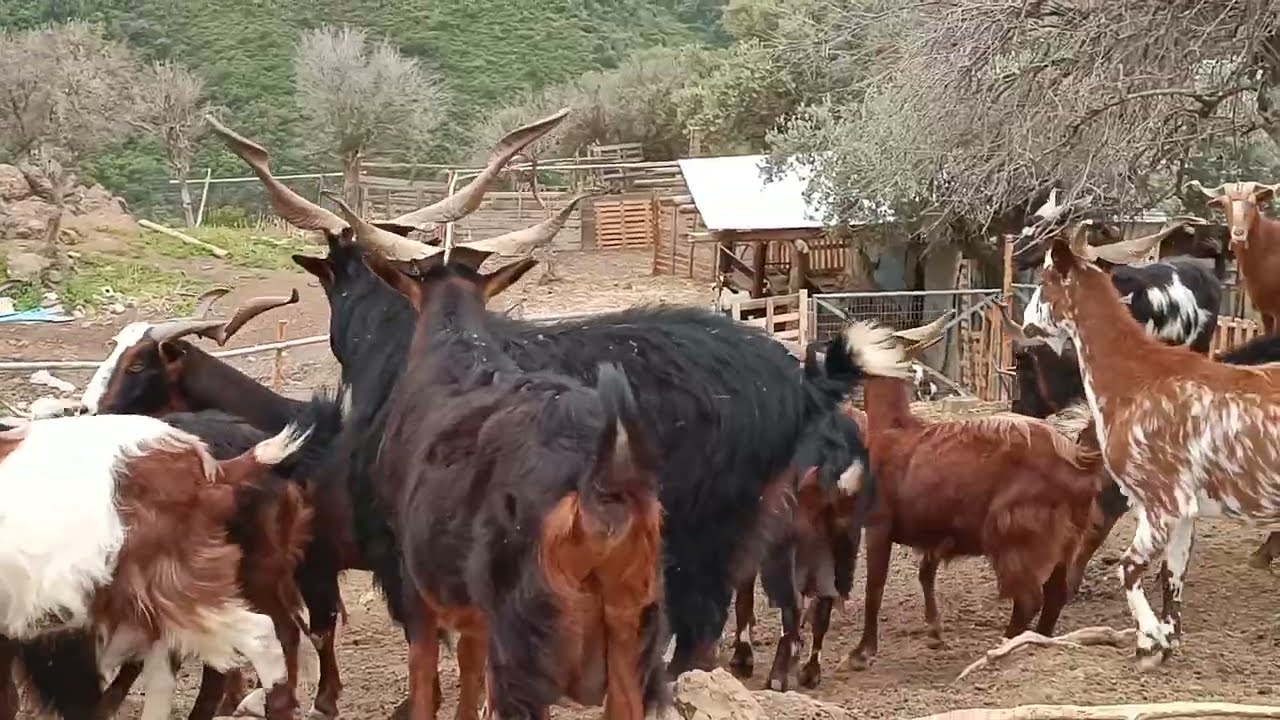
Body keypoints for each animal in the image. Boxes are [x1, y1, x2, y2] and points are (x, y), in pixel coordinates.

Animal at [367, 257, 666, 720]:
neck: (454, 347)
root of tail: (603, 482)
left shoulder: (415, 583)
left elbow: (423, 678)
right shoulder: (477, 612)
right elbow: (469, 661)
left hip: (523, 649)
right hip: (633, 633)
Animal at [728, 402, 873, 691]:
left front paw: (742, 657)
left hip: (785, 545)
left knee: (791, 603)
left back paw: (777, 677)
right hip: (843, 542)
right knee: (825, 601)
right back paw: (809, 671)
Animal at [821, 313, 1102, 670]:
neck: (894, 431)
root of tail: (1078, 461)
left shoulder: (879, 527)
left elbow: (875, 586)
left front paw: (862, 651)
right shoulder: (937, 533)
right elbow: (925, 574)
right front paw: (934, 632)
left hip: (1016, 538)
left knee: (1029, 598)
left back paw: (1002, 649)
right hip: (1068, 542)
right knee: (1055, 595)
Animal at [1020, 220, 1280, 668]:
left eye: (1045, 279)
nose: (1025, 324)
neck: (1136, 374)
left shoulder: (1161, 501)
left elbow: (1128, 568)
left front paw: (1148, 642)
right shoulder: (1184, 511)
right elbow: (1170, 576)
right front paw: (1166, 641)